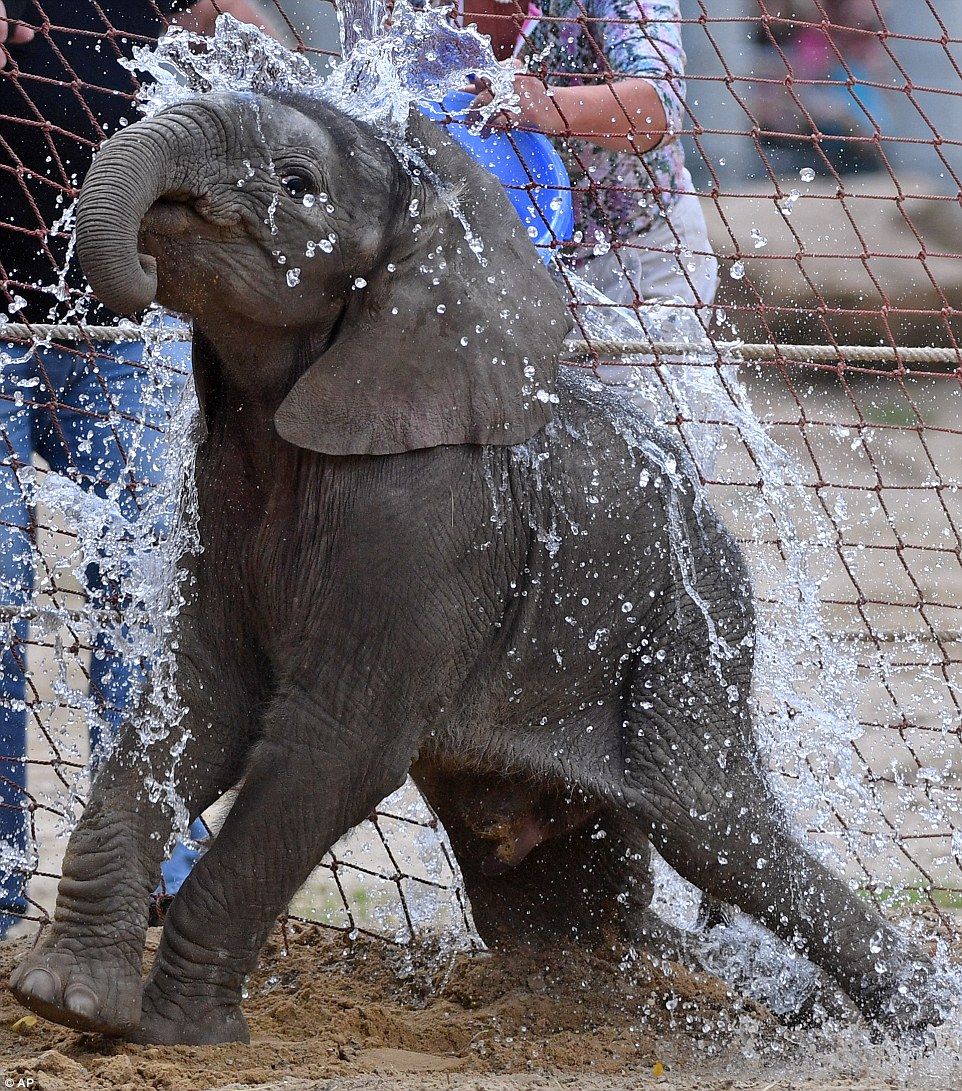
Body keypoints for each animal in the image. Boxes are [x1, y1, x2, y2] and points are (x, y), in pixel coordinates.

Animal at [10, 87, 941, 1046]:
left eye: (296, 184)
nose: (135, 265)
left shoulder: (423, 514)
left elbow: (332, 743)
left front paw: (179, 1038)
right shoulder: (219, 487)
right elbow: (199, 699)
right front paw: (65, 1002)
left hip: (690, 628)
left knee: (712, 825)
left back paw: (917, 1018)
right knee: (557, 904)